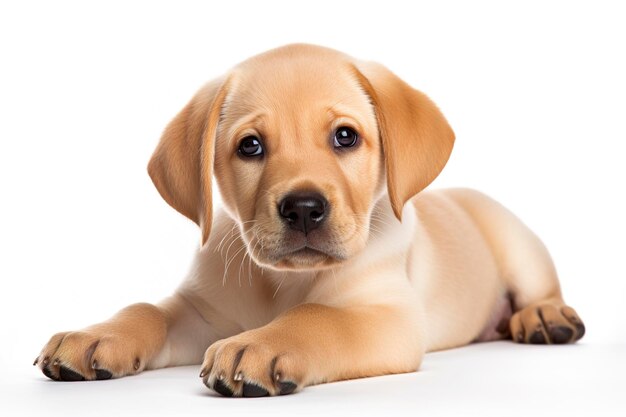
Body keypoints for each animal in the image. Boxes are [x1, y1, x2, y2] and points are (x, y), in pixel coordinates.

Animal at [34, 44, 584, 394]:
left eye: (345, 137)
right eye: (250, 146)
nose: (303, 208)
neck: (281, 283)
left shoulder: (388, 315)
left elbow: (319, 315)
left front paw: (260, 345)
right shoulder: (200, 314)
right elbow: (146, 309)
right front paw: (96, 335)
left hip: (519, 245)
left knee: (541, 287)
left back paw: (544, 317)